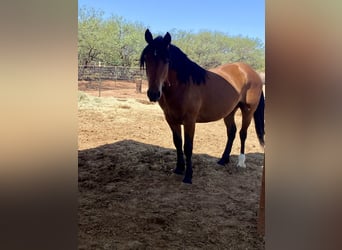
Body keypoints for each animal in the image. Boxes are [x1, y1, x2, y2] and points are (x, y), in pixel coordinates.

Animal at [140, 29, 264, 184]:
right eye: (146, 58)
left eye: (167, 60)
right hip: (229, 112)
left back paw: (241, 162)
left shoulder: (190, 121)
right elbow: (177, 143)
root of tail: (251, 72)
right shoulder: (171, 119)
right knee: (232, 132)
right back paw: (223, 160)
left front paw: (188, 176)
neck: (183, 85)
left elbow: (188, 147)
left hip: (248, 110)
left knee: (243, 133)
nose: (153, 94)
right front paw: (179, 169)